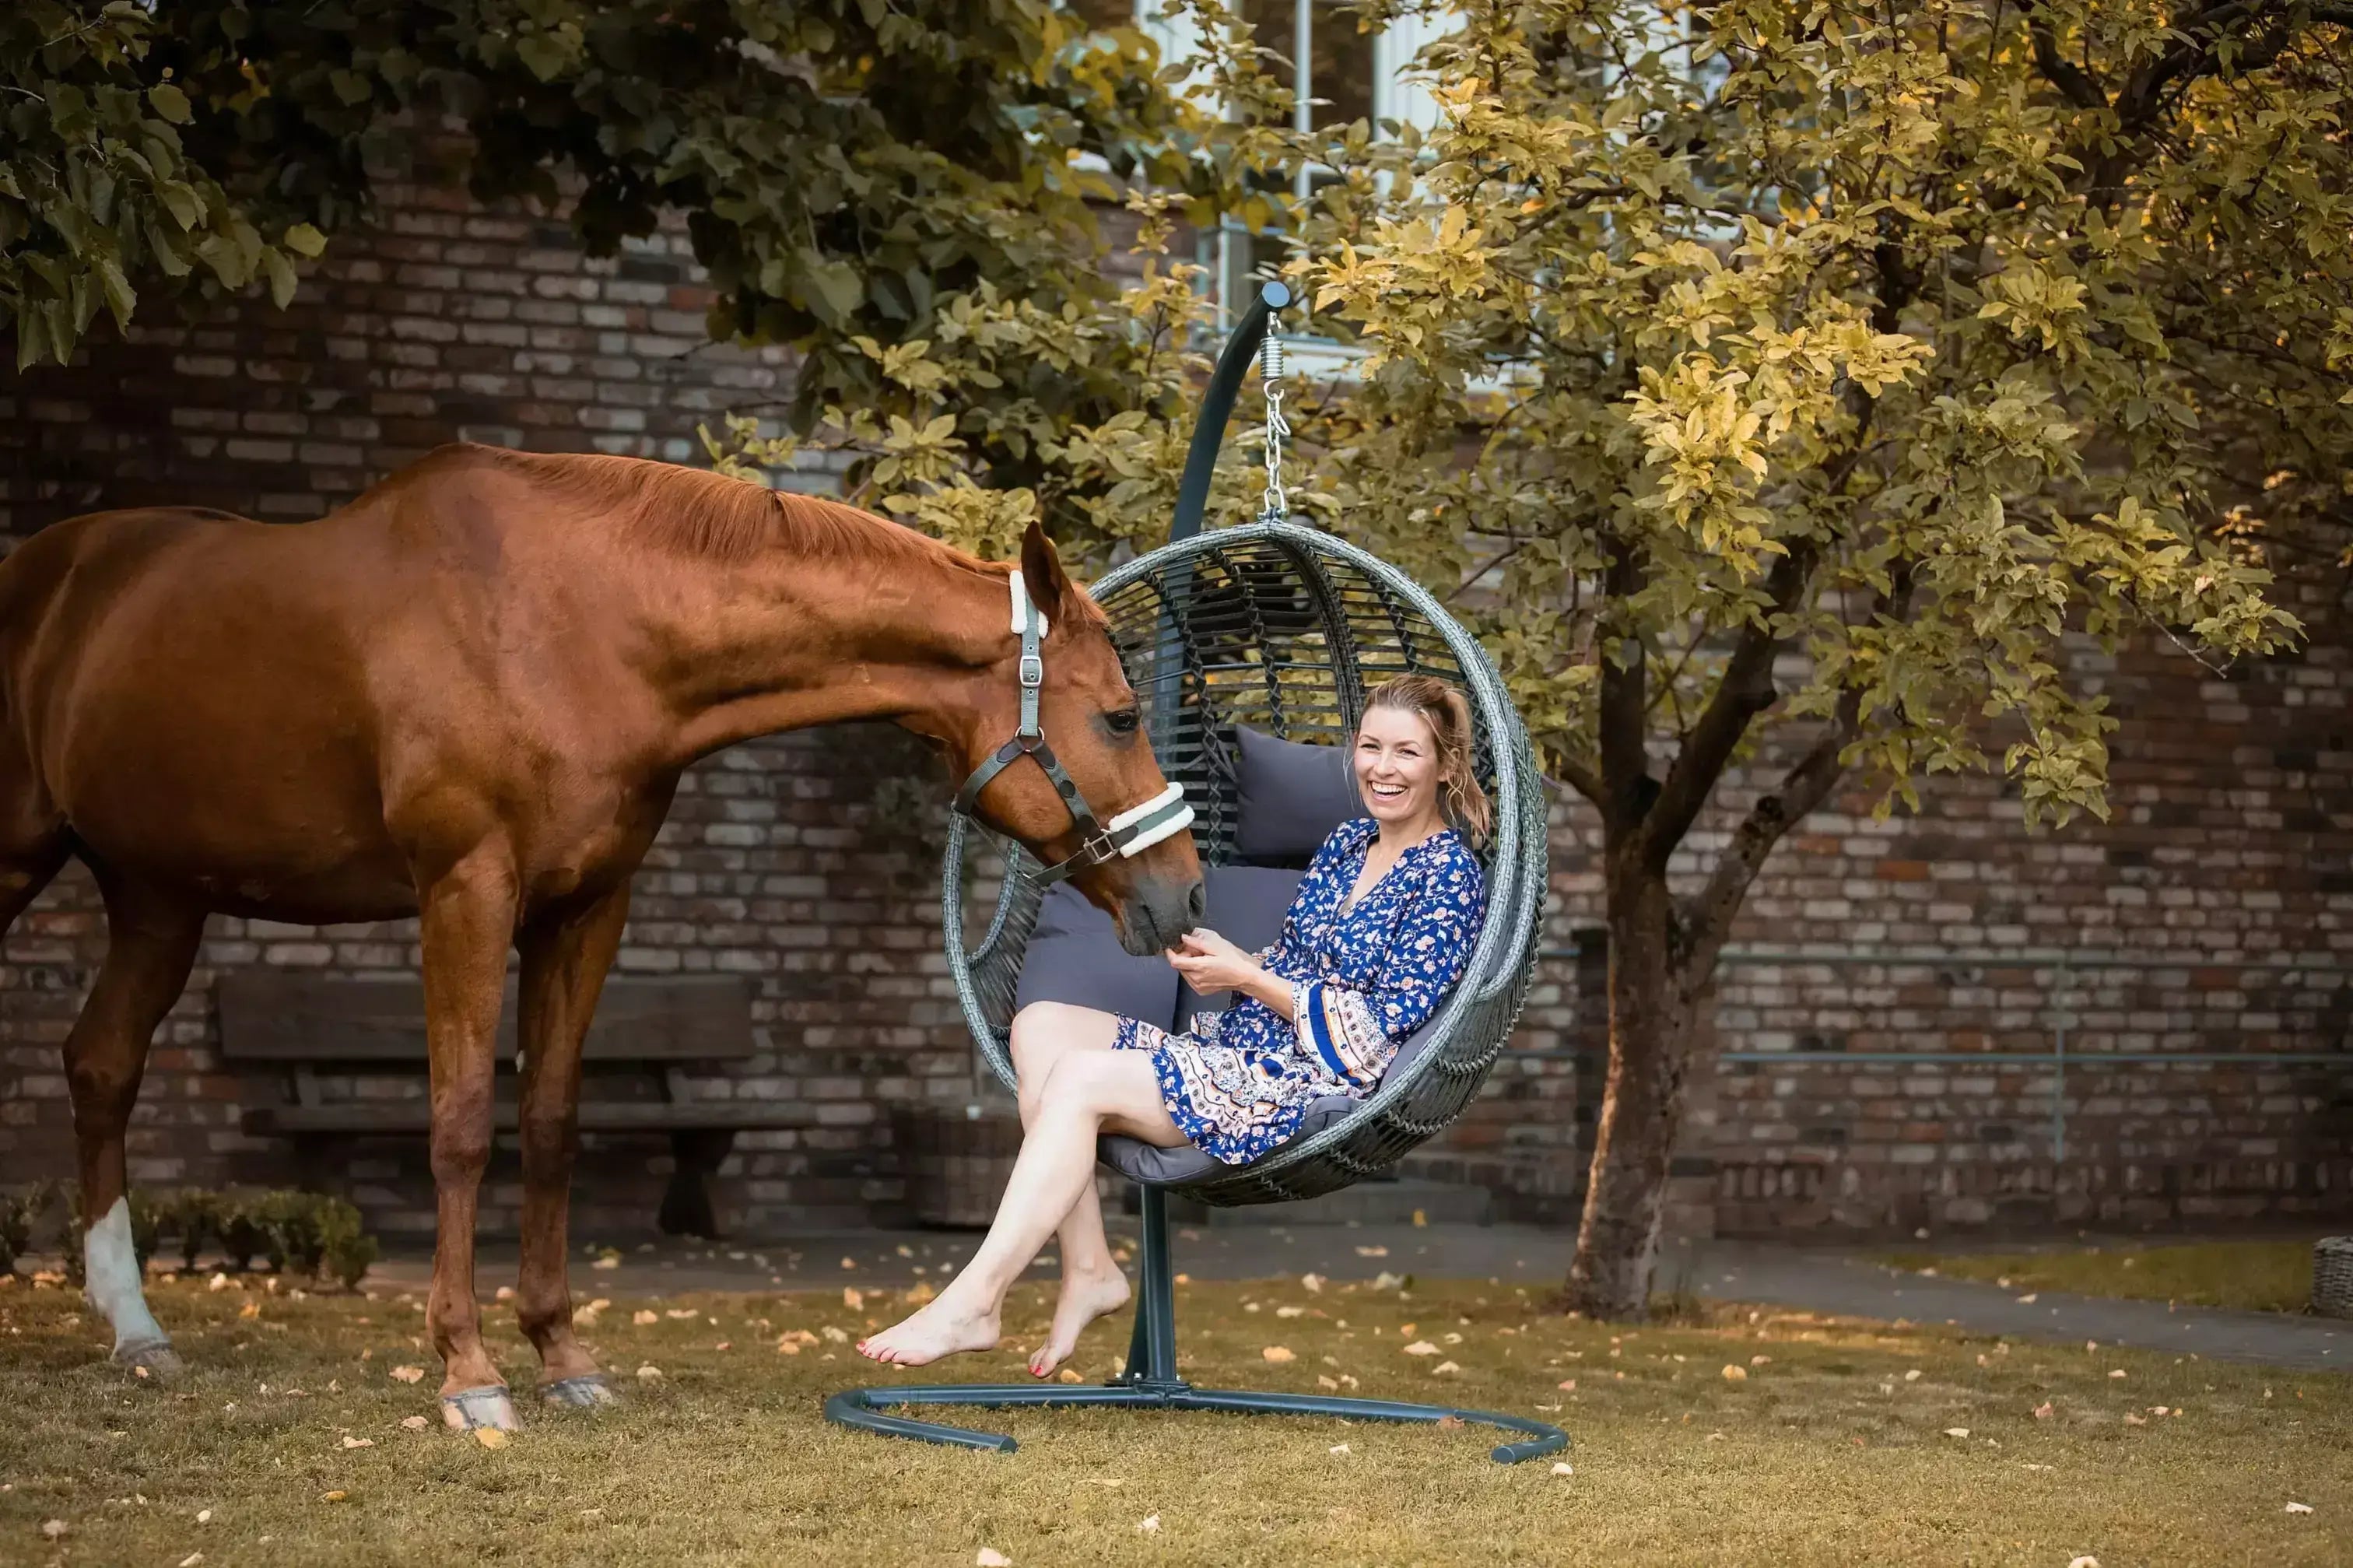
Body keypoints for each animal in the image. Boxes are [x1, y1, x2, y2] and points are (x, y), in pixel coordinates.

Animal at [0, 442, 1205, 1431]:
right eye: (1119, 715)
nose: (1184, 898)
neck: (571, 624)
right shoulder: (466, 892)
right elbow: (461, 1124)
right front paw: (468, 1370)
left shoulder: (587, 905)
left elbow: (551, 1119)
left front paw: (562, 1355)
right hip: (36, 867)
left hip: (158, 894)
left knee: (101, 1065)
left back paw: (137, 1331)